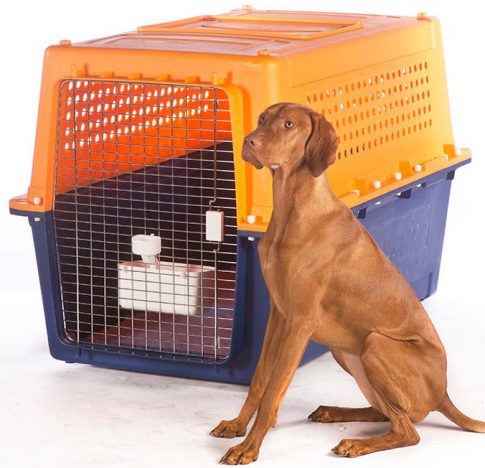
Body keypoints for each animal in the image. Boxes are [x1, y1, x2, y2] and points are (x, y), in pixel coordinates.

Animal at [209, 100, 484, 462]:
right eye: (262, 119)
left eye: (289, 124)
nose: (248, 142)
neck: (293, 211)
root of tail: (443, 394)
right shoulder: (277, 315)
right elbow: (260, 379)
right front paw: (237, 426)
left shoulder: (300, 322)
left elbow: (273, 391)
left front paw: (249, 448)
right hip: (344, 349)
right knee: (389, 413)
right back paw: (334, 412)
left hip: (374, 343)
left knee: (408, 431)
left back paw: (356, 443)